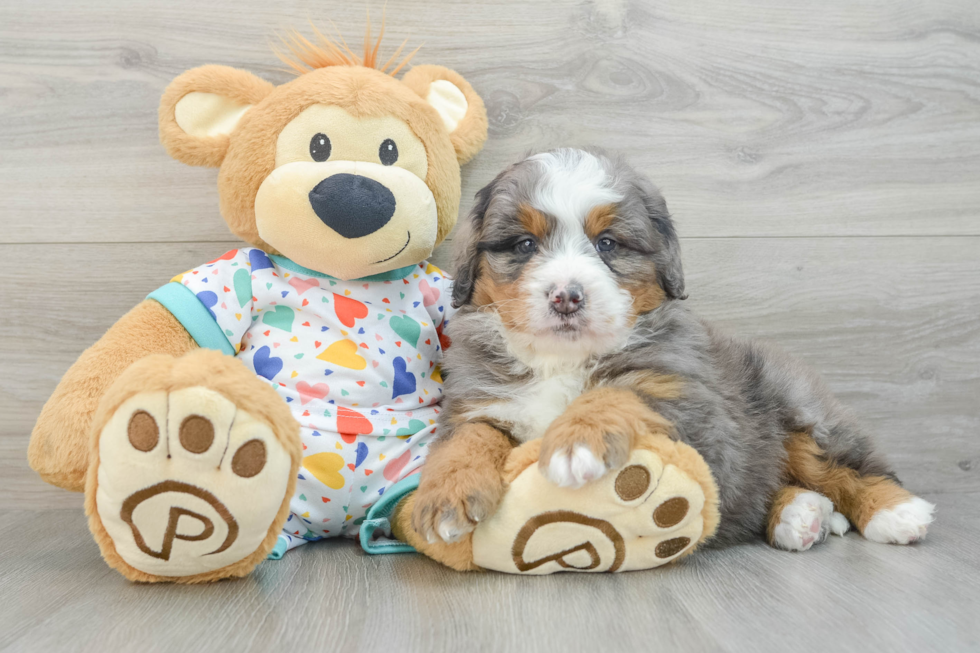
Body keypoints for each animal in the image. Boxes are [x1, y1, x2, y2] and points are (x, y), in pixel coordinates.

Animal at [412, 146, 936, 552]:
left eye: (608, 244)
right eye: (523, 244)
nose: (566, 296)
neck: (561, 361)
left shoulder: (685, 397)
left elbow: (617, 392)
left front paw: (576, 442)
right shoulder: (478, 401)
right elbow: (467, 438)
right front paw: (443, 496)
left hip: (800, 412)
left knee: (844, 466)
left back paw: (895, 512)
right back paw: (803, 515)